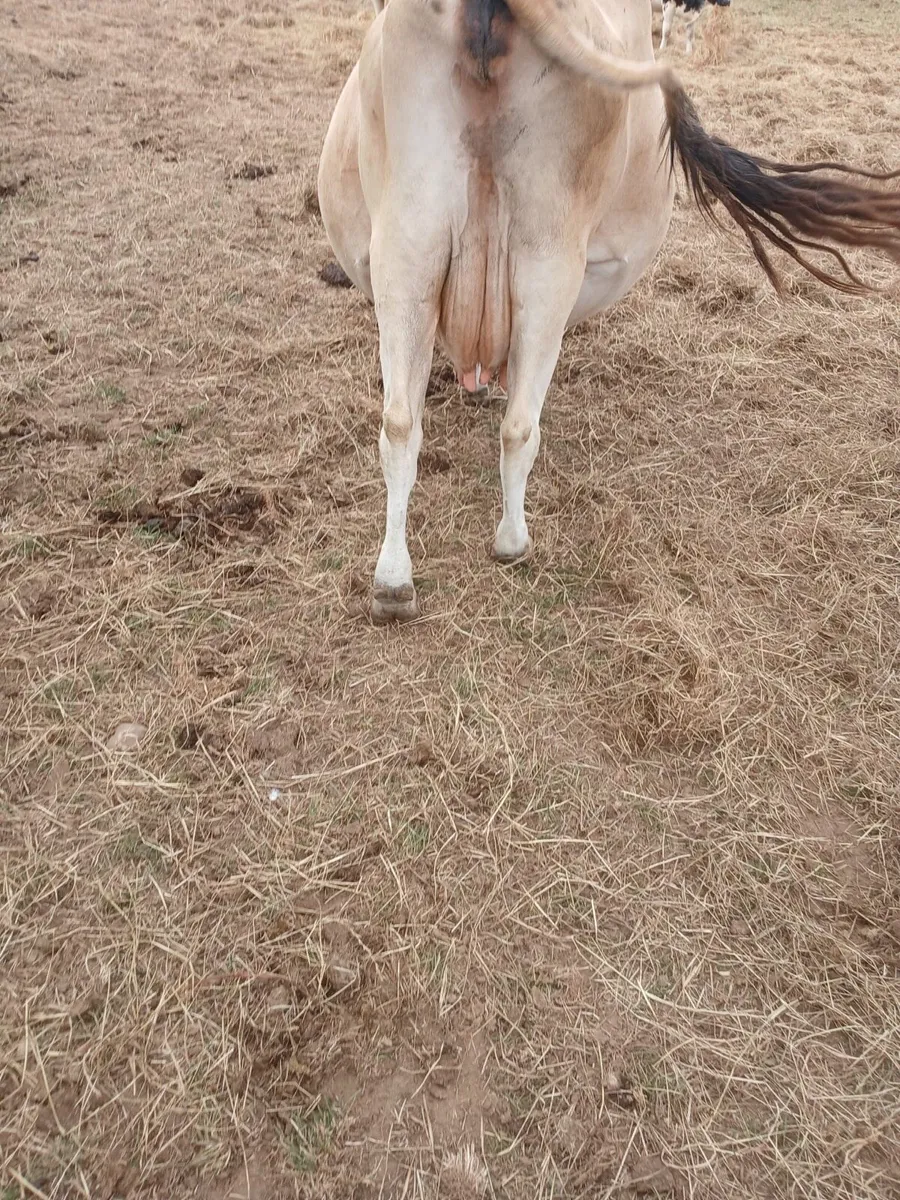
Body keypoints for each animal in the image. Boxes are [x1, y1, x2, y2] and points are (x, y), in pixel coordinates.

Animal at [317, 0, 900, 623]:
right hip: (548, 252)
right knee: (519, 425)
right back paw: (512, 542)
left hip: (411, 241)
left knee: (402, 423)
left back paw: (393, 581)